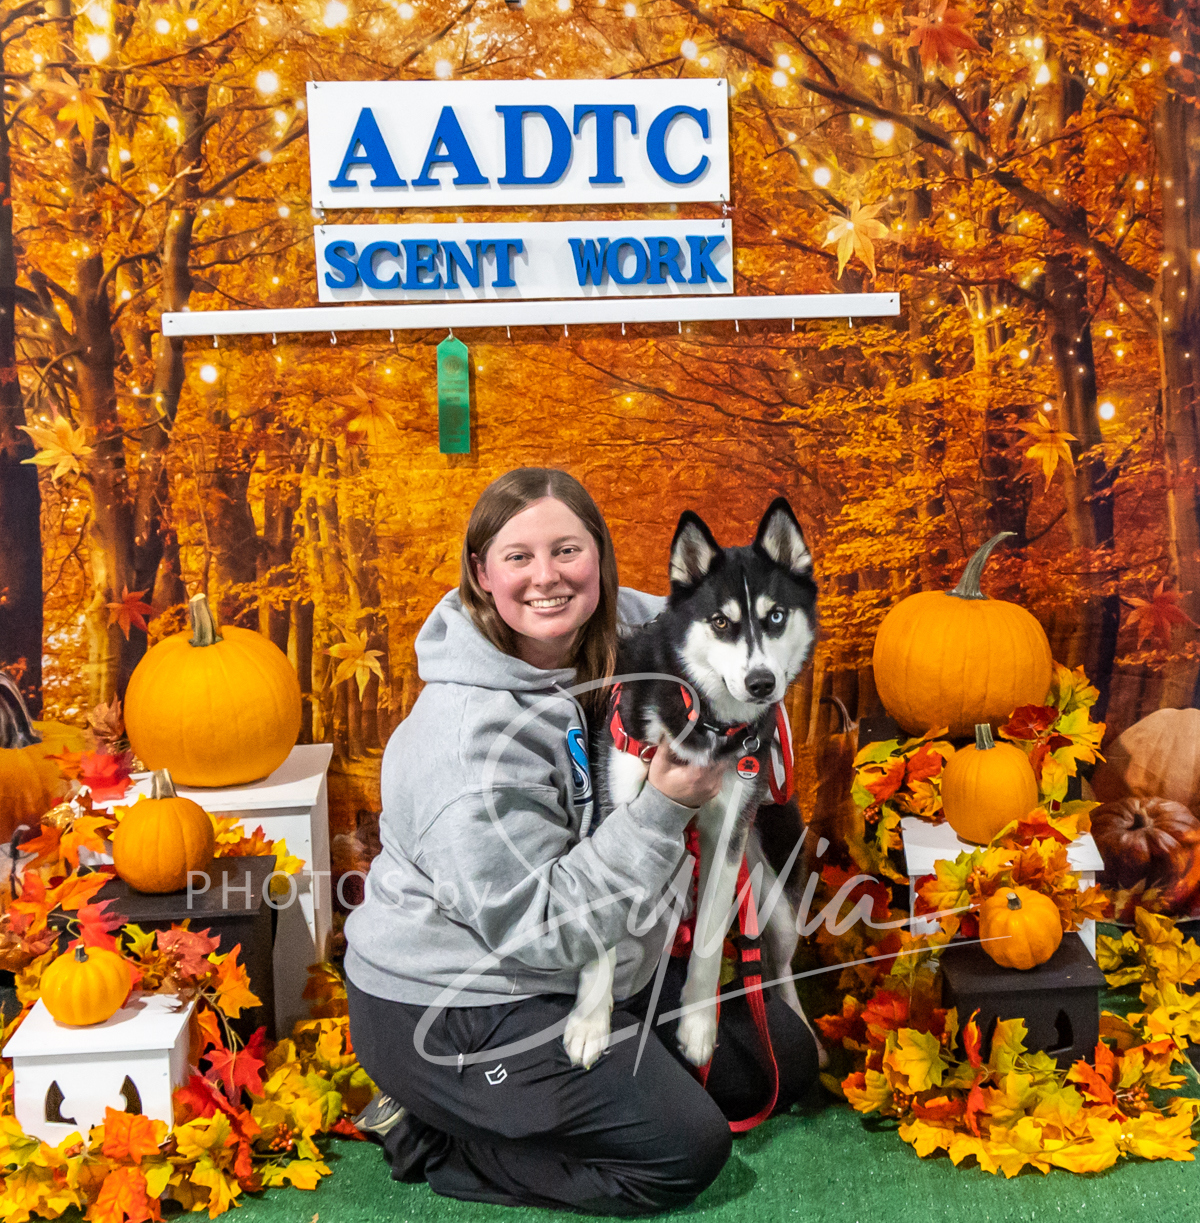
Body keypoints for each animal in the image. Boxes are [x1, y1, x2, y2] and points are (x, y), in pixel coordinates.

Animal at [563, 497, 822, 1072]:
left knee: (778, 967)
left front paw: (699, 1025)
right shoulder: (613, 814)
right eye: (721, 621)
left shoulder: (727, 837)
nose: (761, 683)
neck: (702, 720)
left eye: (776, 616)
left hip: (774, 895)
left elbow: (707, 942)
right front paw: (590, 1022)